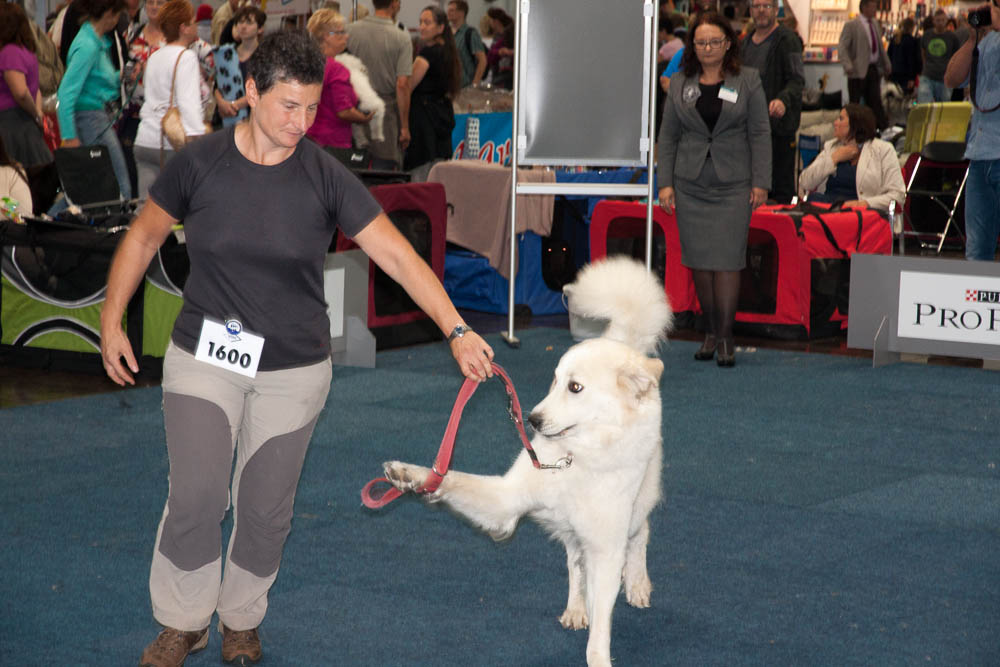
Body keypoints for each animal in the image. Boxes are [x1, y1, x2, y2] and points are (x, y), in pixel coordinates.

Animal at [382, 258, 672, 667]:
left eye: (575, 388)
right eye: (555, 381)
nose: (531, 420)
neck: (575, 459)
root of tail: (622, 343)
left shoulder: (606, 547)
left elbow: (600, 629)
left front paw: (599, 656)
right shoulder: (507, 501)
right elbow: (451, 477)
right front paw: (410, 476)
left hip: (635, 507)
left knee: (640, 533)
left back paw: (638, 584)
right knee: (574, 562)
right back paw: (575, 608)